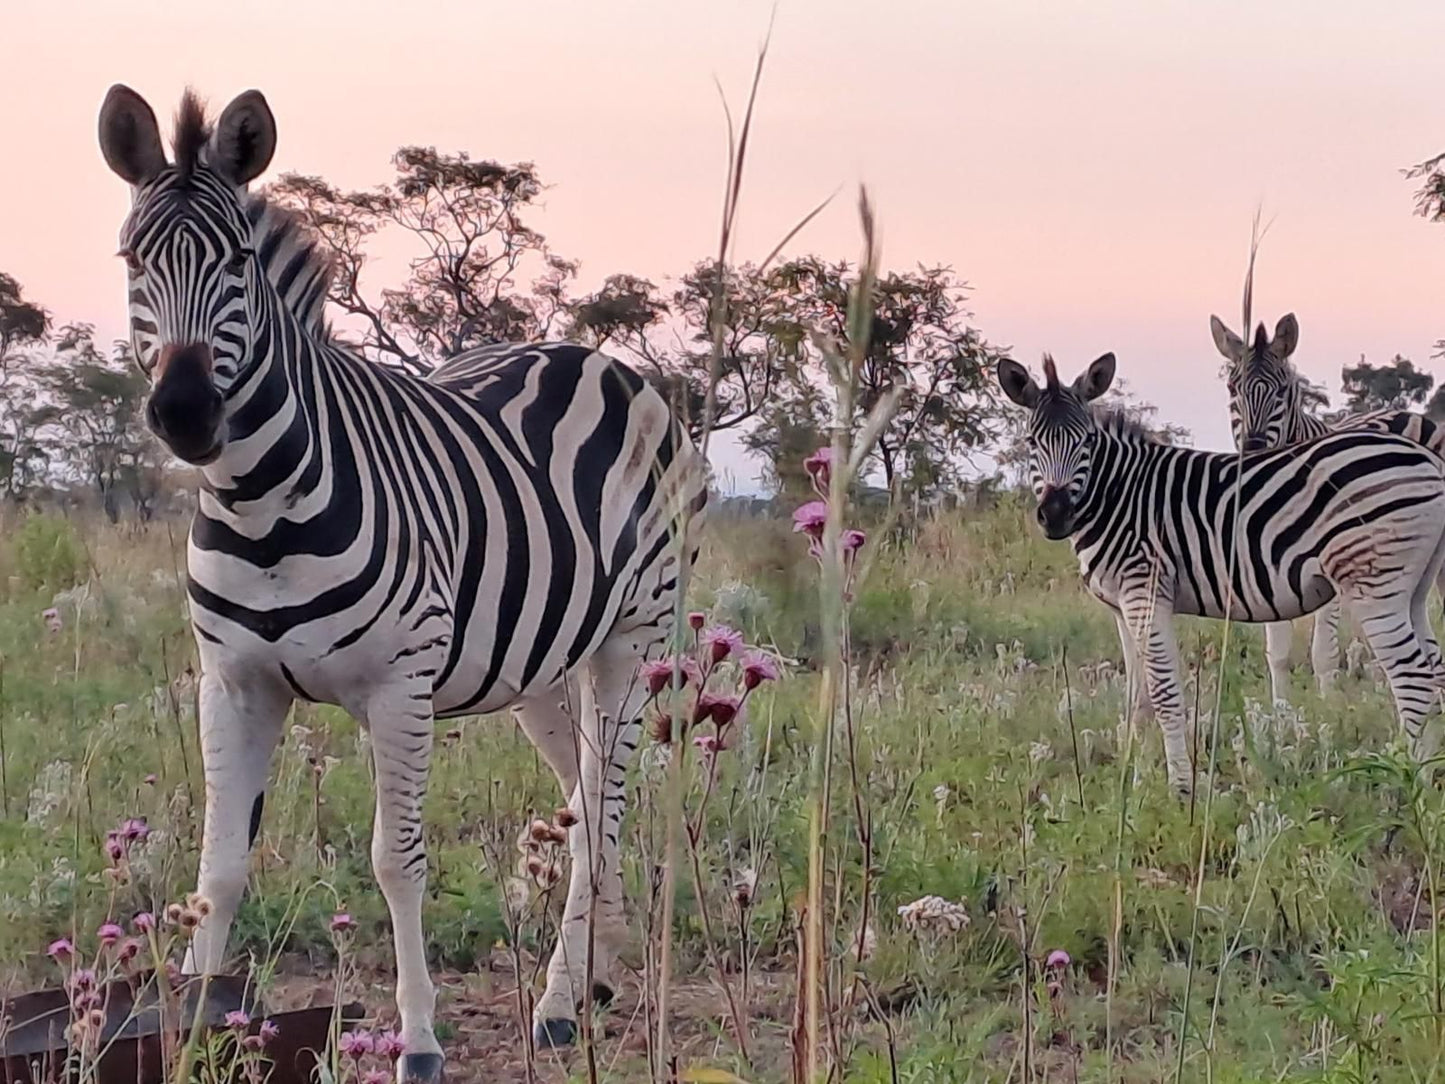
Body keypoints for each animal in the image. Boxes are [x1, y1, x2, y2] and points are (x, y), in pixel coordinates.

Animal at [96, 82, 705, 1081]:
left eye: (237, 264)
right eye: (131, 259)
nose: (185, 415)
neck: (260, 502)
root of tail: (592, 356)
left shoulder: (397, 686)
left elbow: (396, 860)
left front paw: (418, 1040)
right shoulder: (232, 682)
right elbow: (218, 866)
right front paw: (186, 1033)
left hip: (632, 635)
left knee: (605, 796)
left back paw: (558, 1003)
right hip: (536, 664)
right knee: (589, 803)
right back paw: (597, 970)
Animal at [999, 352, 1445, 792]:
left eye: (1087, 441)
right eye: (1031, 442)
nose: (1055, 515)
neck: (1119, 495)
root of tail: (1427, 457)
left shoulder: (1146, 591)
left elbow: (1164, 693)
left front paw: (1180, 789)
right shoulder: (1121, 607)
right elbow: (1136, 697)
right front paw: (1132, 785)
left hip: (1374, 585)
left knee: (1412, 677)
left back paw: (1414, 785)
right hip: (1413, 588)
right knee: (1434, 668)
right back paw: (1429, 776)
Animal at [1208, 312, 1445, 705]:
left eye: (1284, 391)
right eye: (1232, 388)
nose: (1252, 452)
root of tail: (1399, 413)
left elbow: (1324, 652)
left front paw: (1332, 708)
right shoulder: (1262, 566)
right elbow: (1278, 651)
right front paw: (1281, 715)